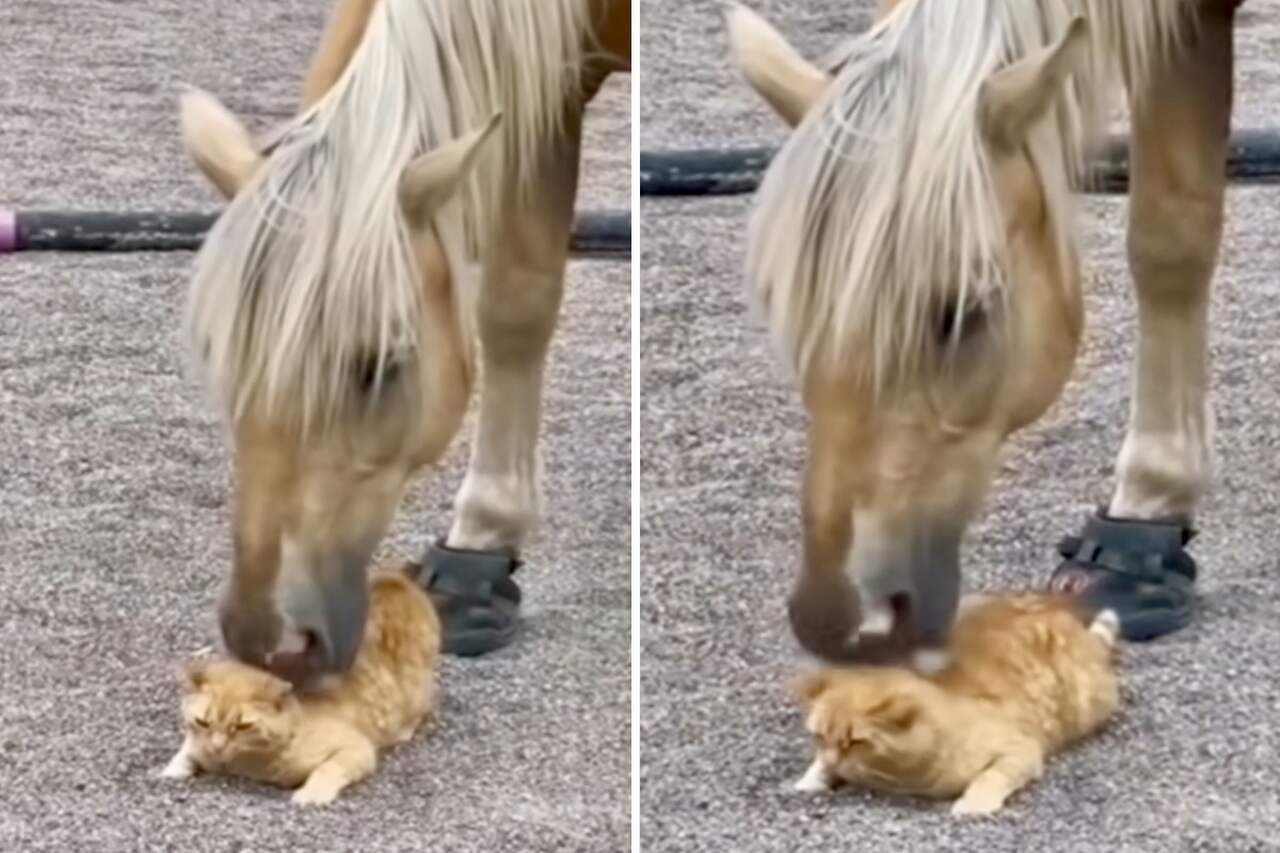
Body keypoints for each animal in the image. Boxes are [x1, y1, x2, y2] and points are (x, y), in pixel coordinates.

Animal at [160, 563, 442, 804]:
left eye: (242, 726)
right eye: (203, 722)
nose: (217, 747)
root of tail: (396, 578)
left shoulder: (357, 748)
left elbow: (329, 768)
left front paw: (310, 795)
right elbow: (188, 748)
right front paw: (175, 767)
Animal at [788, 594, 1121, 814]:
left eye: (856, 742)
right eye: (819, 736)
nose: (834, 760)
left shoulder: (1020, 749)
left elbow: (992, 775)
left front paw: (973, 804)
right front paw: (815, 775)